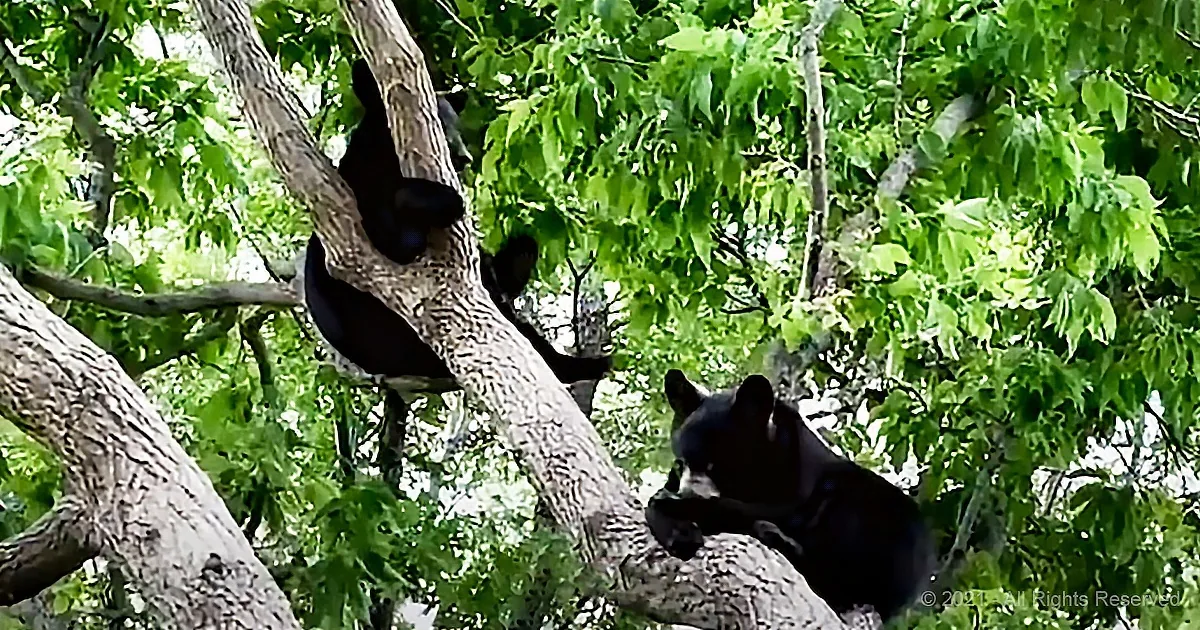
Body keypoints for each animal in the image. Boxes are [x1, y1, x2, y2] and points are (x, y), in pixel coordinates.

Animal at [301, 59, 611, 389]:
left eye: (456, 124)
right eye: (436, 123)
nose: (463, 157)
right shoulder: (360, 198)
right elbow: (399, 237)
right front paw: (443, 199)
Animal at [645, 370, 936, 623]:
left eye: (716, 465)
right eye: (680, 464)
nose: (688, 492)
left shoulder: (799, 482)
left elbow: (771, 511)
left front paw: (677, 507)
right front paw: (678, 531)